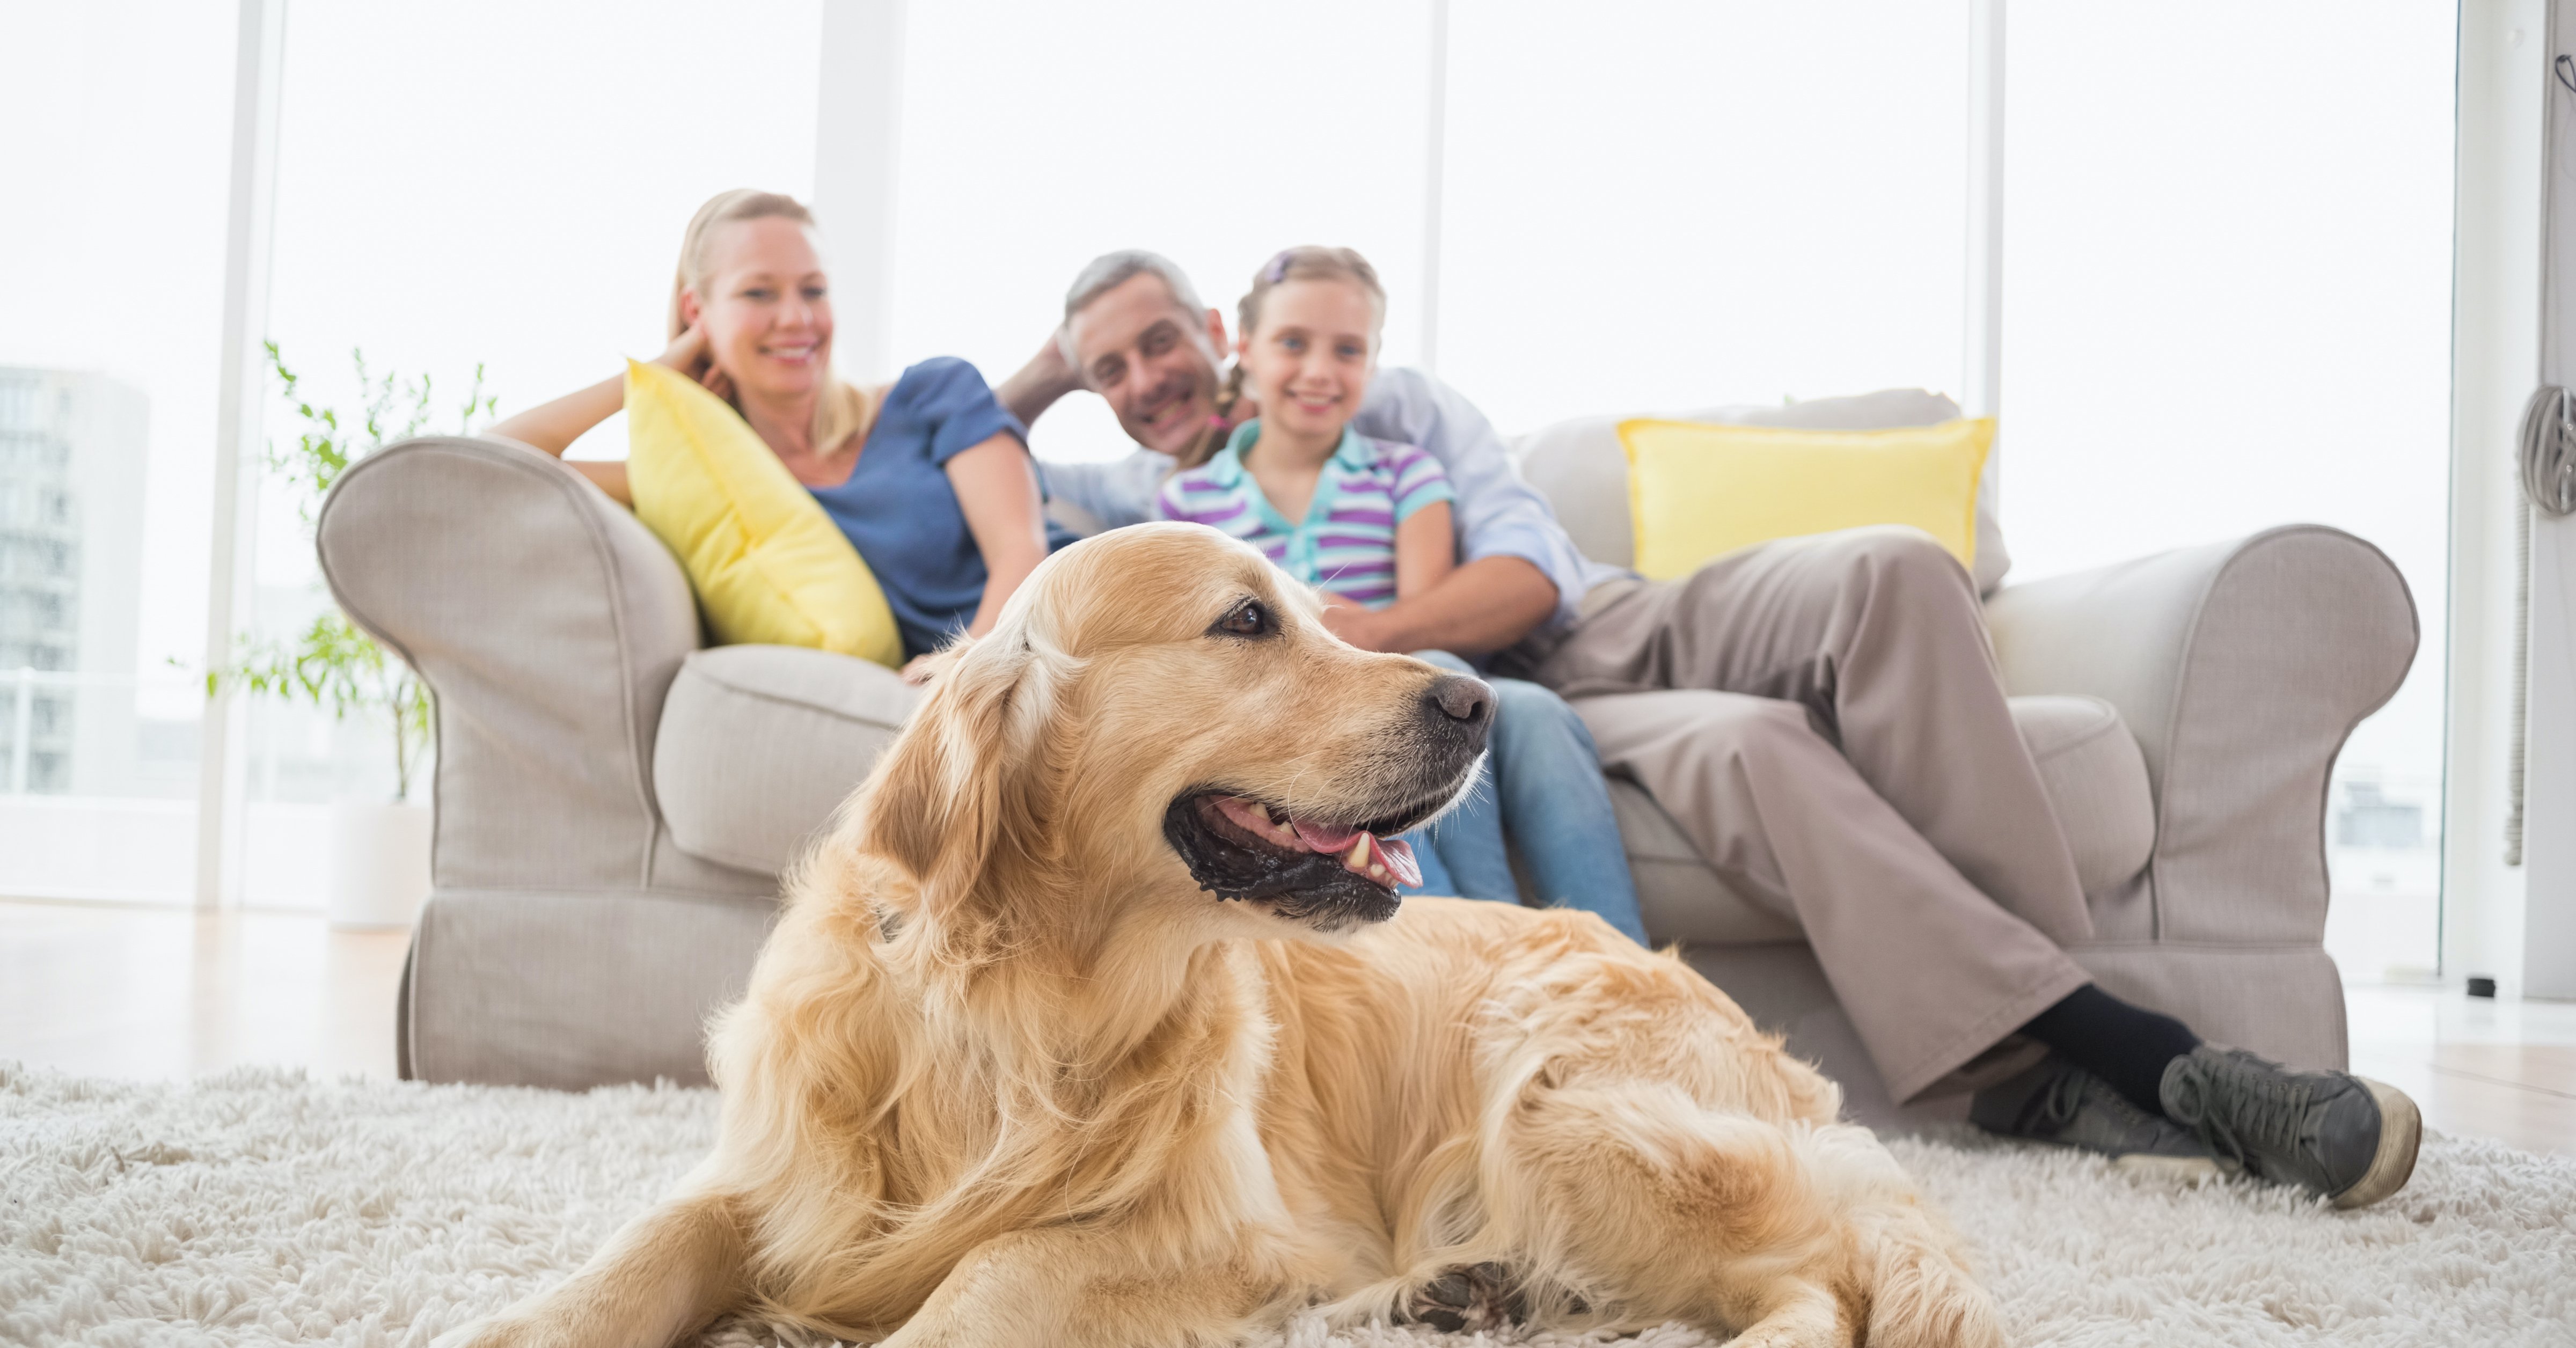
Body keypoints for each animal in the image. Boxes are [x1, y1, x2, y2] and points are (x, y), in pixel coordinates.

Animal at [443, 525, 1999, 1348]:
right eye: (1247, 620)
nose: (1475, 702)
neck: (1024, 993)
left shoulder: (1197, 1229)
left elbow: (993, 1271)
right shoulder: (782, 1166)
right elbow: (645, 1247)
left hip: (1560, 1103)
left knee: (1819, 1282)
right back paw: (1457, 1286)